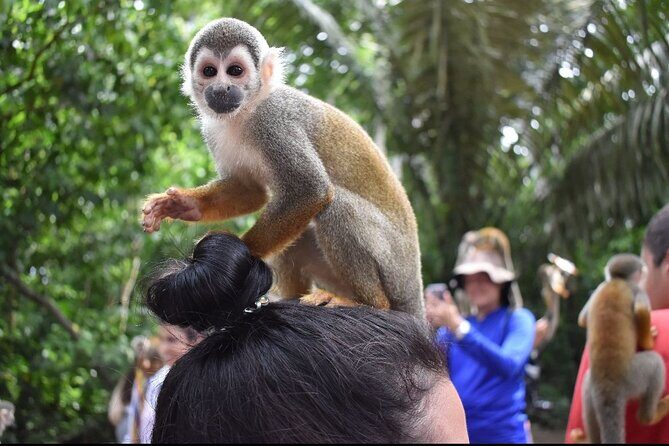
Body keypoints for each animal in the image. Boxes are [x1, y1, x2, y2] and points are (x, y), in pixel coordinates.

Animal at [140, 18, 424, 318]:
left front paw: (239, 254)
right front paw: (183, 205)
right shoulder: (212, 130)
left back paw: (368, 302)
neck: (246, 113)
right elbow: (250, 192)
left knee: (336, 206)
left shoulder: (274, 121)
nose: (220, 89)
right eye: (210, 71)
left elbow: (310, 189)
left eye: (235, 71)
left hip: (393, 266)